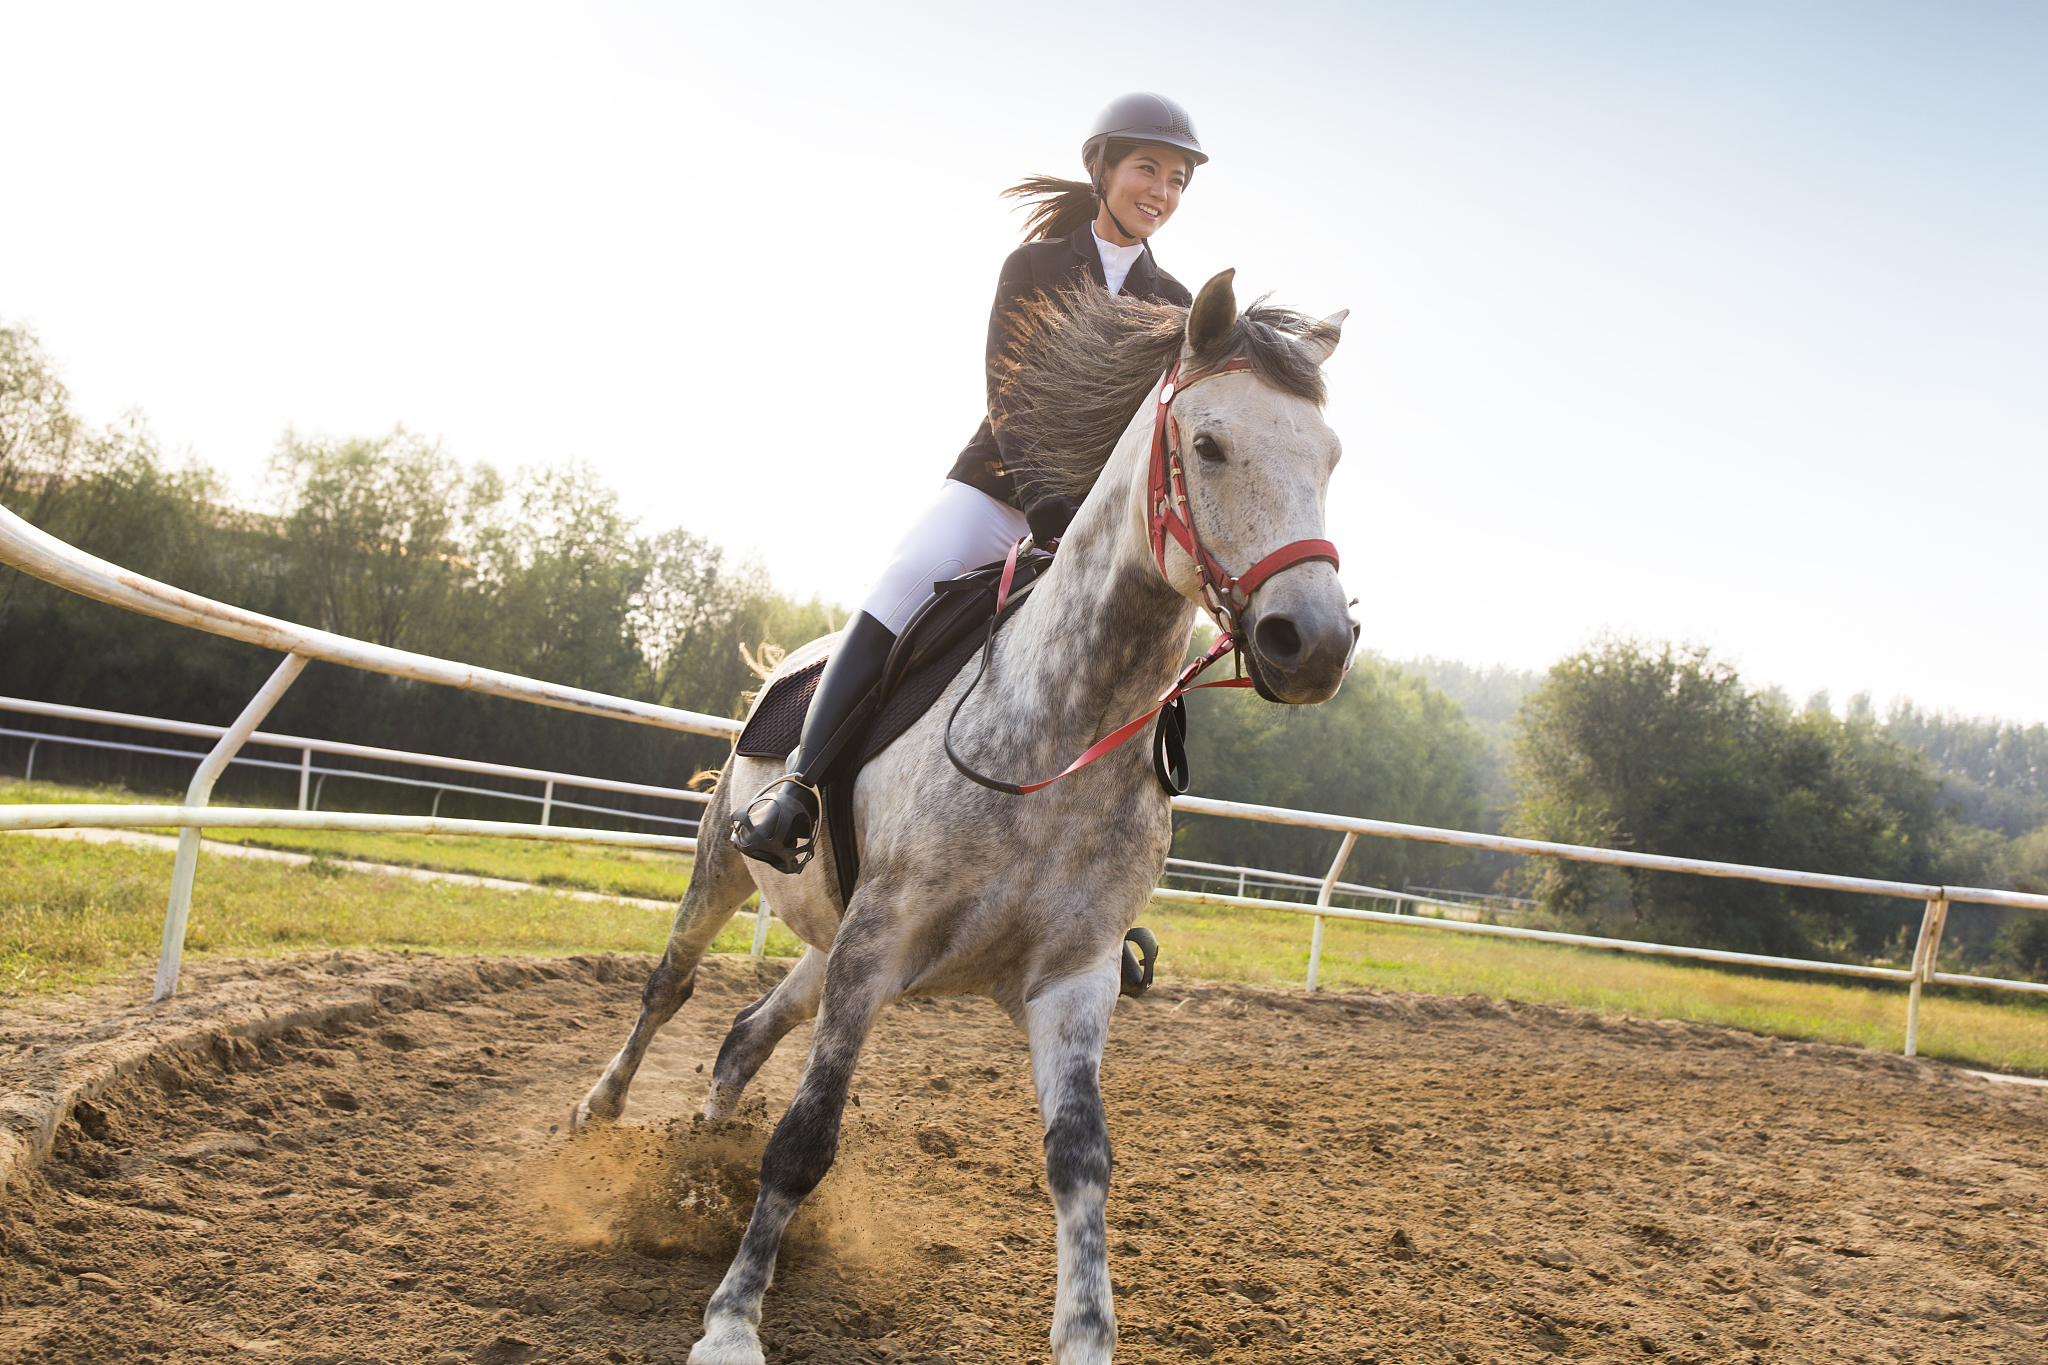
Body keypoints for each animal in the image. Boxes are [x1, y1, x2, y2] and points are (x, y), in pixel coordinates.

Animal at [573, 268, 1357, 1365]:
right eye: (1208, 444)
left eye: (1329, 457)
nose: (1314, 643)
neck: (1060, 730)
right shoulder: (877, 947)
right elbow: (806, 1138)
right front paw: (730, 1323)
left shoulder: (1068, 977)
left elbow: (1081, 1159)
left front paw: (1085, 1337)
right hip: (731, 876)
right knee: (669, 988)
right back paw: (601, 1114)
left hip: (831, 942)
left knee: (742, 1033)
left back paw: (702, 1157)